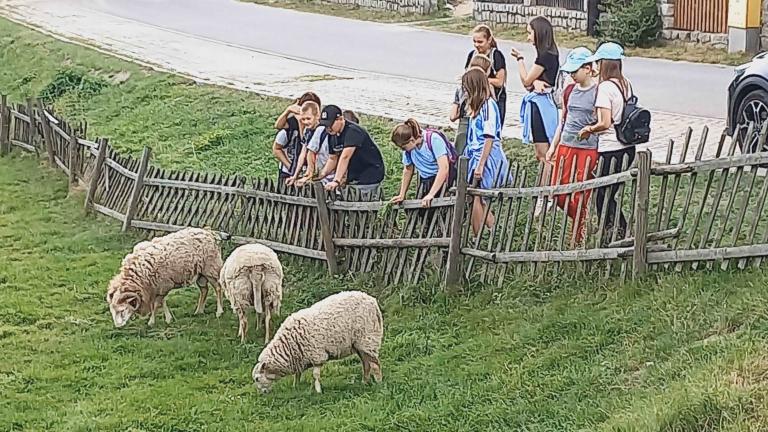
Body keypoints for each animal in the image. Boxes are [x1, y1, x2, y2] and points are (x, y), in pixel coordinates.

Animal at [252, 290, 384, 394]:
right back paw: (364, 382)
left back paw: (379, 383)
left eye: (257, 379)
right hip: (359, 344)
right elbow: (298, 374)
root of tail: (372, 301)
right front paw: (296, 386)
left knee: (375, 365)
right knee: (366, 364)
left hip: (368, 339)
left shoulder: (316, 355)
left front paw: (318, 391)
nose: (262, 393)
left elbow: (315, 375)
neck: (287, 347)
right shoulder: (300, 358)